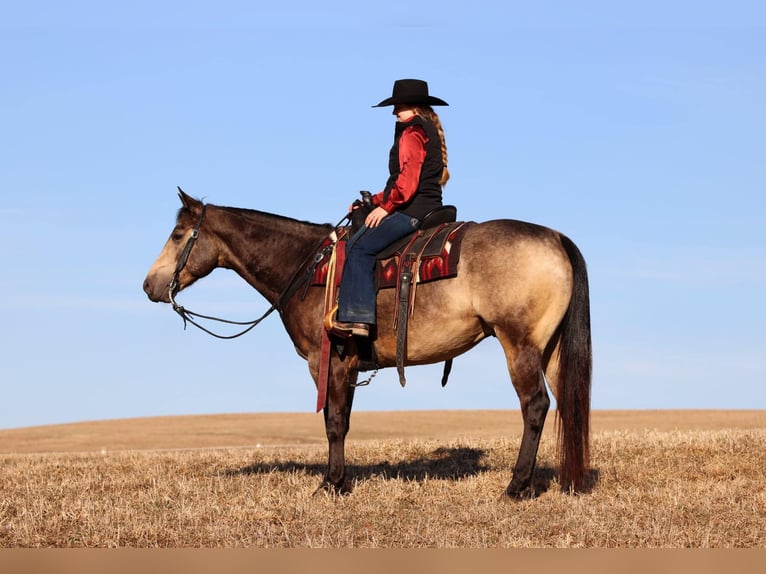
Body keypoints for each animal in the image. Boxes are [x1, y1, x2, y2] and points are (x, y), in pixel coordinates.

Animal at [142, 190, 592, 500]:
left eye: (179, 235)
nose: (150, 285)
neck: (306, 268)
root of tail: (555, 239)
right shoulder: (349, 365)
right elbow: (340, 420)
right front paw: (339, 481)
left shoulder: (328, 361)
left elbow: (334, 423)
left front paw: (331, 484)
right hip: (550, 350)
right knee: (566, 404)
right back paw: (568, 479)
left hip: (519, 345)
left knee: (535, 405)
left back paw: (516, 487)